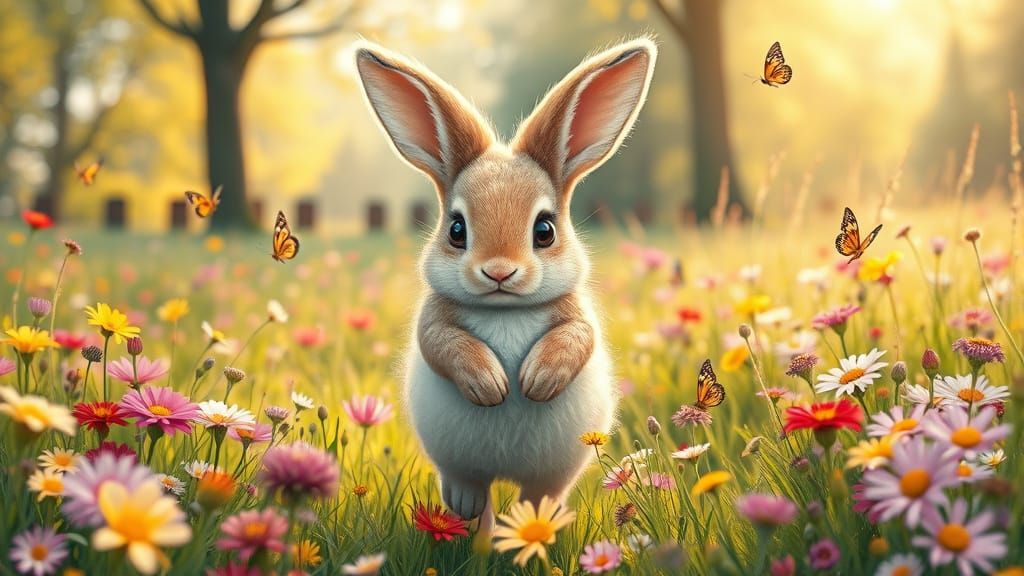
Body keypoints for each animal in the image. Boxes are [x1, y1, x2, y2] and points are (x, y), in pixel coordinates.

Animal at [354, 37, 657, 528]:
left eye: (545, 230)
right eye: (457, 230)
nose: (499, 271)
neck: (505, 309)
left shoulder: (576, 314)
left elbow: (578, 336)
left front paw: (536, 381)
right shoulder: (434, 319)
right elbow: (441, 343)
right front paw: (492, 385)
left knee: (535, 497)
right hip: (461, 468)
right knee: (475, 499)